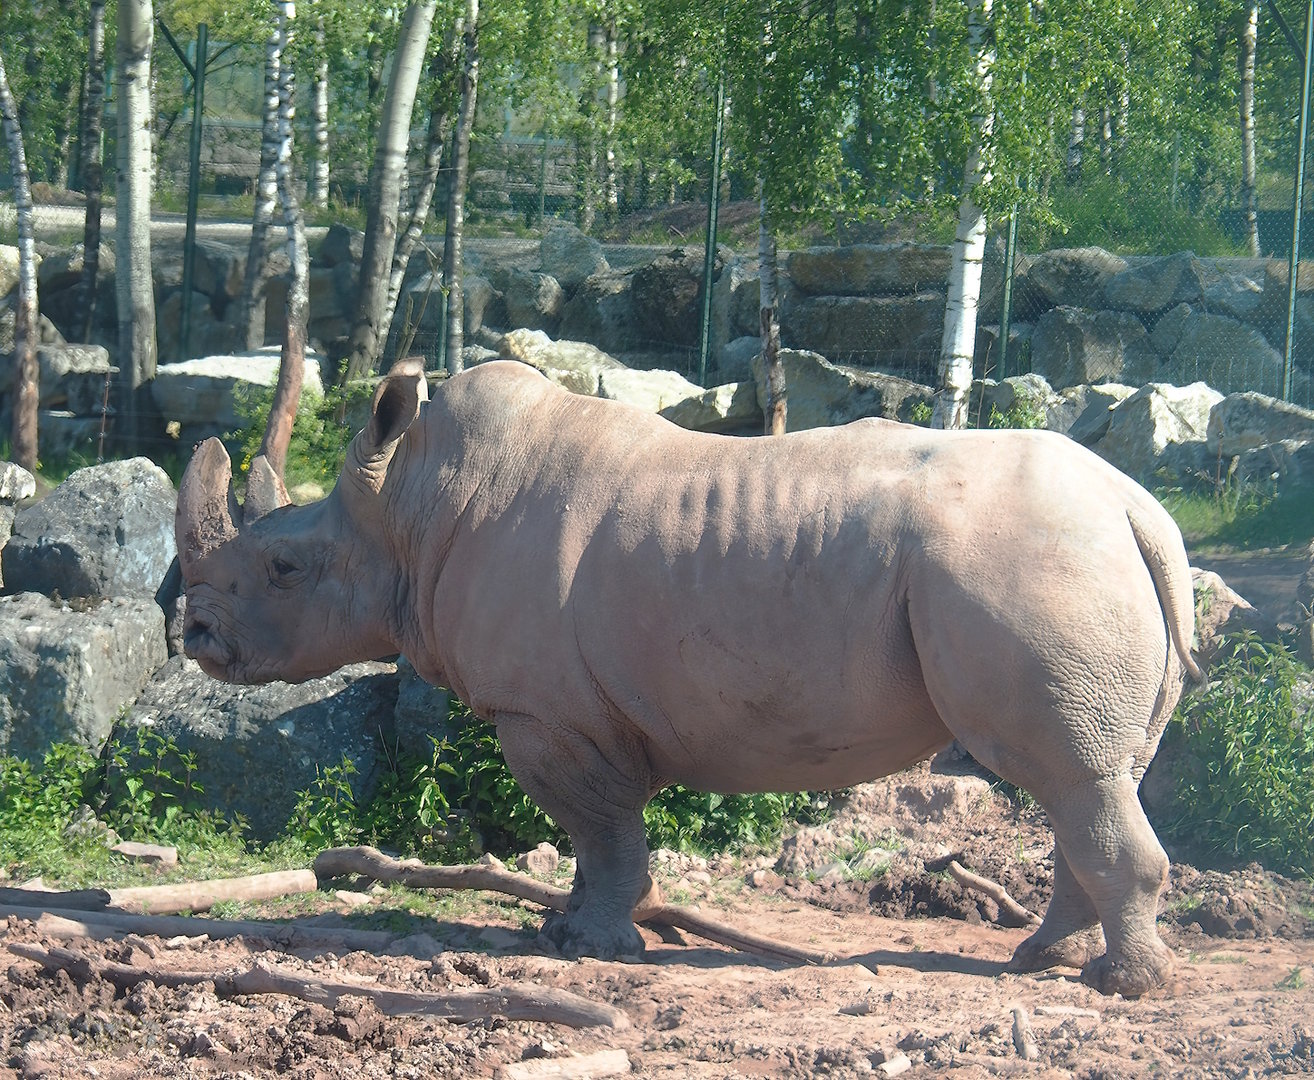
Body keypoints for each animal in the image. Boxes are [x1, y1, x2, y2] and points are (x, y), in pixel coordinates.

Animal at [176, 357, 1201, 998]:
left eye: (283, 570)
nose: (193, 633)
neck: (410, 505)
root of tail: (1135, 507)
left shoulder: (544, 714)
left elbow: (599, 828)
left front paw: (587, 946)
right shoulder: (579, 712)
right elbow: (600, 838)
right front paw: (576, 930)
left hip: (1028, 569)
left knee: (1069, 776)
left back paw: (1121, 986)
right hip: (1077, 566)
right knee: (1091, 778)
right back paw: (1041, 960)